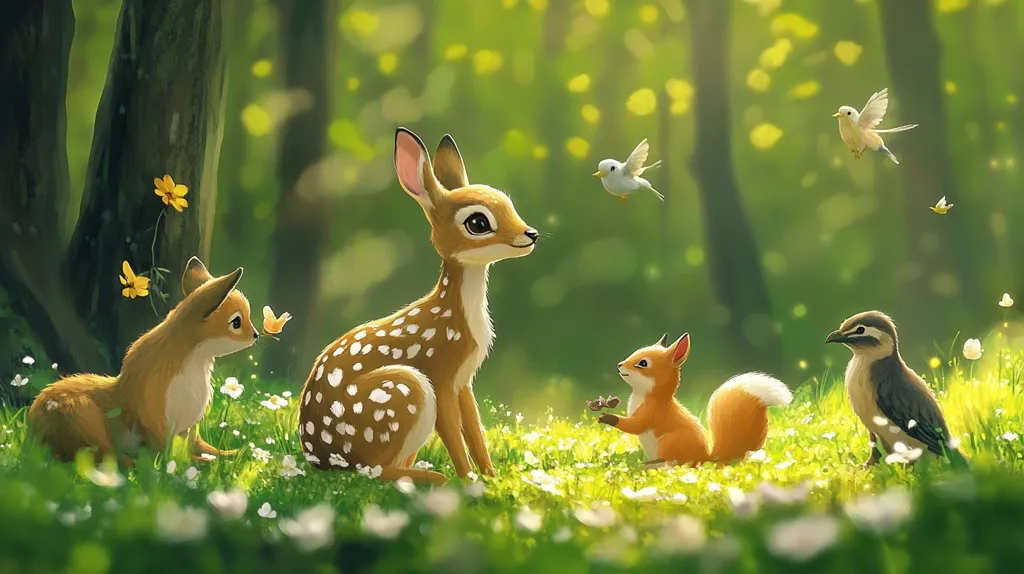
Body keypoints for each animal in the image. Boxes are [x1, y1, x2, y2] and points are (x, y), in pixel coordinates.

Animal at [28, 257, 260, 466]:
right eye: (236, 323)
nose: (256, 335)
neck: (193, 365)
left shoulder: (189, 427)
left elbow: (202, 447)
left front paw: (233, 454)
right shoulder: (154, 416)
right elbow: (170, 455)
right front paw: (202, 463)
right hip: (83, 418)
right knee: (109, 457)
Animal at [297, 128, 539, 485]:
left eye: (509, 204)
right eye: (478, 222)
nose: (530, 233)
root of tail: (319, 458)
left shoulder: (463, 380)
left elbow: (475, 428)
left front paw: (491, 476)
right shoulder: (440, 372)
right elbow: (452, 430)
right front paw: (469, 481)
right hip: (402, 391)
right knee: (375, 470)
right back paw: (435, 479)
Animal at [598, 332, 793, 467]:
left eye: (643, 363)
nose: (619, 365)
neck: (646, 396)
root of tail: (706, 459)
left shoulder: (653, 412)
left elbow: (635, 425)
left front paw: (608, 418)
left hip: (670, 441)